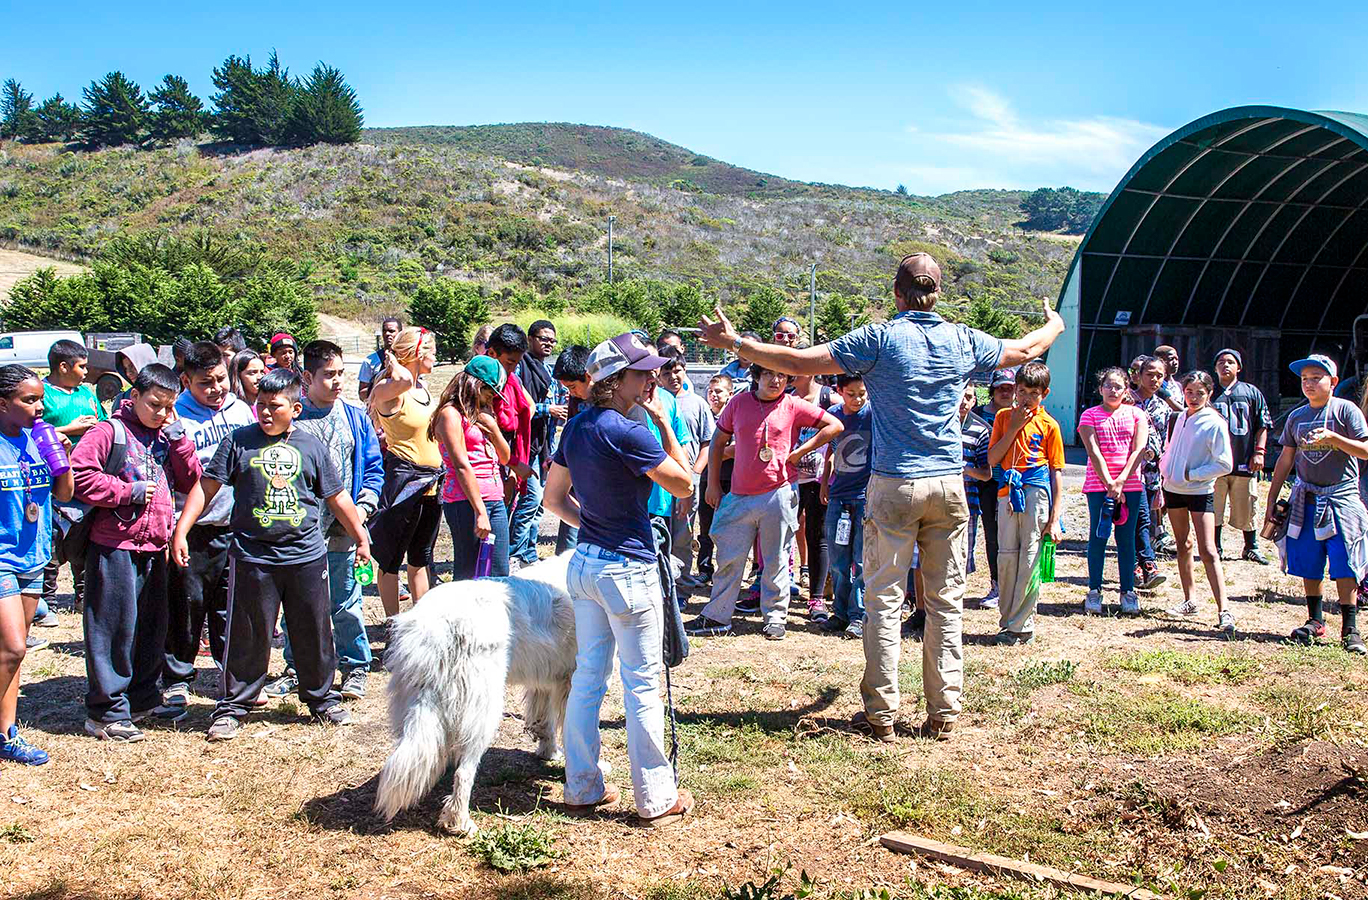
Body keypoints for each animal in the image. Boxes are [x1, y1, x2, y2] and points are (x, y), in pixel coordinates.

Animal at [377, 549, 580, 831]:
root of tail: (437, 628)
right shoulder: (573, 680)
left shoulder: (547, 681)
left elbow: (544, 723)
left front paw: (548, 753)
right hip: (485, 709)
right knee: (465, 771)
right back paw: (459, 822)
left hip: (413, 707)